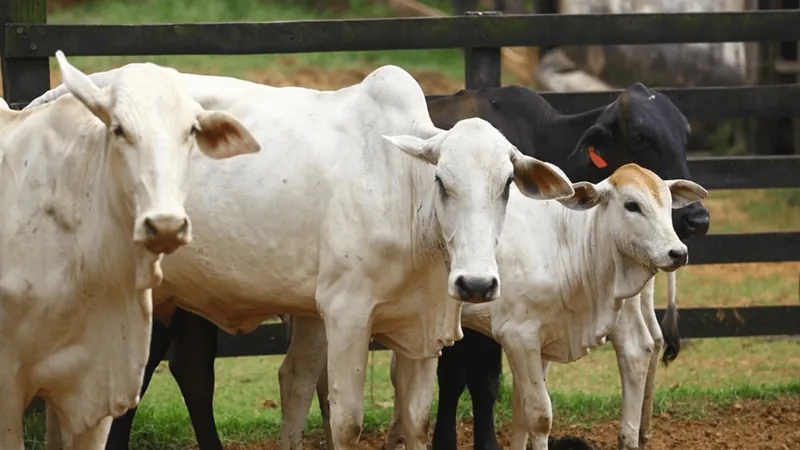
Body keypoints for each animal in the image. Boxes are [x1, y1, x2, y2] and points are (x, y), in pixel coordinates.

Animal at [26, 64, 576, 450]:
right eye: (443, 181)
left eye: (507, 185)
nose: (476, 285)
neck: (399, 187)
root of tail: (57, 95)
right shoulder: (346, 313)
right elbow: (346, 422)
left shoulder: (421, 330)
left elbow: (414, 420)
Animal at [103, 82, 708, 448]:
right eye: (642, 138)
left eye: (507, 185)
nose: (694, 223)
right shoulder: (480, 327)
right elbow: (484, 393)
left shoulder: (438, 324)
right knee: (156, 378)